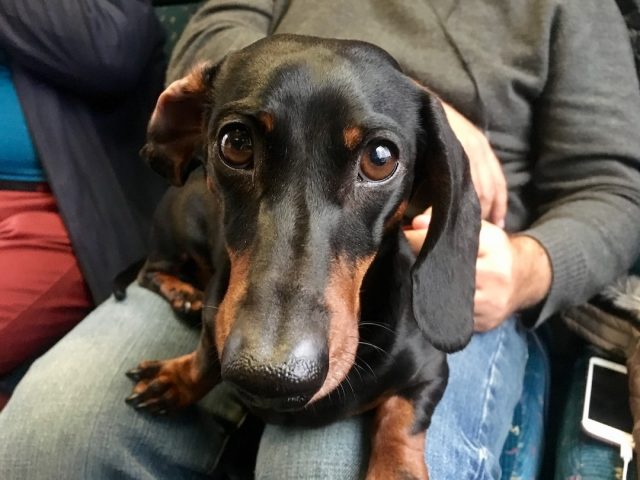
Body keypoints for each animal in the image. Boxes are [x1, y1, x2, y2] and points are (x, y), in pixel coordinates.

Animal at [126, 34, 480, 480]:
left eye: (380, 158)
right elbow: (207, 358)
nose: (269, 376)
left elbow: (401, 418)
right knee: (151, 271)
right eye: (236, 143)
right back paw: (182, 294)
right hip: (181, 230)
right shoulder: (217, 315)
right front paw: (175, 381)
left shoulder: (430, 370)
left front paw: (396, 467)